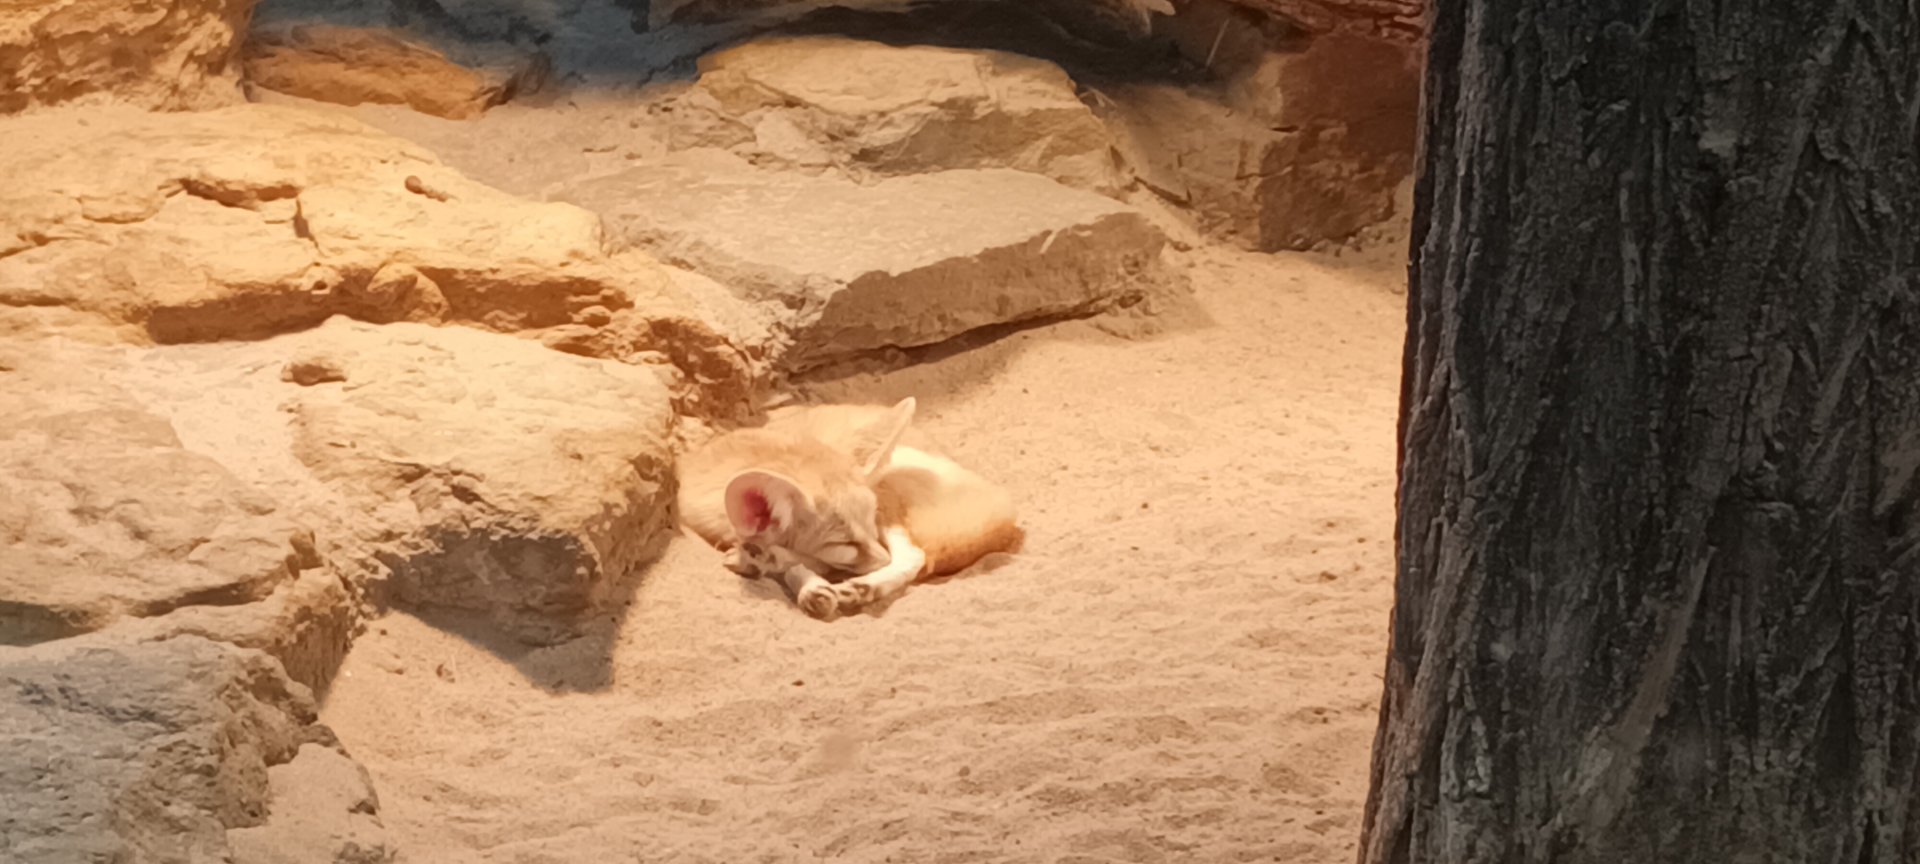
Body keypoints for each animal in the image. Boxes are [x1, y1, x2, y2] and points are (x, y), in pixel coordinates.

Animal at [675, 397, 1022, 619]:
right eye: (846, 543)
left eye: (869, 528)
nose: (881, 559)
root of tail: (1004, 516)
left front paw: (782, 566)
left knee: (915, 556)